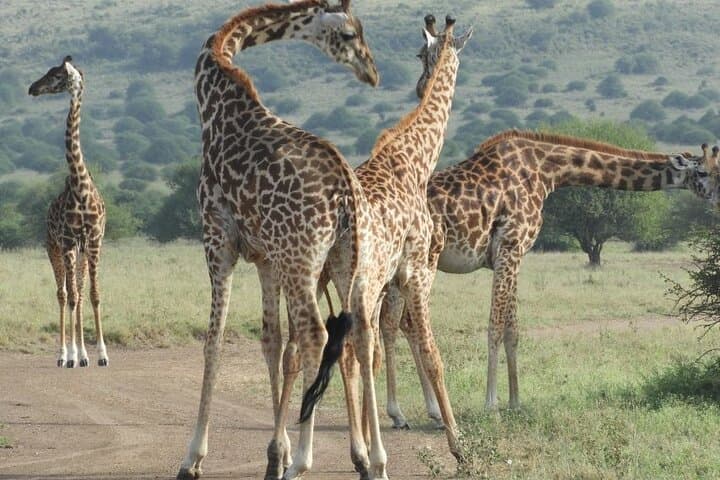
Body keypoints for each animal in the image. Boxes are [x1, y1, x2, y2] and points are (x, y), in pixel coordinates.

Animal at [28, 56, 109, 369]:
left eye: (56, 75)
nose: (32, 88)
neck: (80, 187)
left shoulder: (94, 242)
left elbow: (93, 295)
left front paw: (101, 355)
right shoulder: (67, 241)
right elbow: (72, 296)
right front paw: (75, 355)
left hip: (81, 252)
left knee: (80, 293)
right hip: (54, 248)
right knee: (63, 294)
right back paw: (64, 355)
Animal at [177, 1, 379, 479]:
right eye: (350, 34)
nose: (372, 72)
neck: (216, 98)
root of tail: (346, 195)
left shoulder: (218, 237)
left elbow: (214, 340)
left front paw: (193, 457)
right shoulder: (266, 257)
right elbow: (271, 342)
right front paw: (276, 452)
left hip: (303, 262)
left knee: (316, 335)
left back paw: (304, 460)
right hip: (348, 263)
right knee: (359, 336)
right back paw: (370, 461)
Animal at [300, 15, 473, 477]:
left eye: (421, 54)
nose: (419, 83)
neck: (415, 159)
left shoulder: (386, 281)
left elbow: (374, 353)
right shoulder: (416, 269)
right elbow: (429, 351)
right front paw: (457, 443)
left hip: (321, 279)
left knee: (315, 345)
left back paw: (316, 454)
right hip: (357, 280)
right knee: (348, 347)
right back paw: (363, 456)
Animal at [381, 130, 720, 428]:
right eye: (703, 172)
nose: (717, 201)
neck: (548, 171)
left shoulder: (515, 256)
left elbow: (512, 330)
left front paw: (515, 403)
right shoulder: (509, 249)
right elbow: (495, 327)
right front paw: (492, 406)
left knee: (395, 323)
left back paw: (419, 413)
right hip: (421, 263)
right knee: (401, 324)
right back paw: (407, 412)